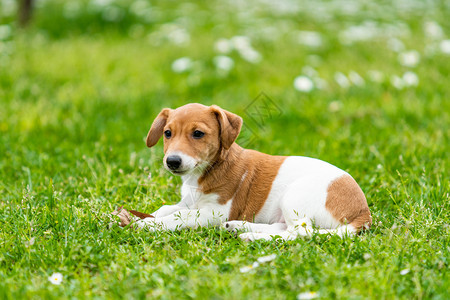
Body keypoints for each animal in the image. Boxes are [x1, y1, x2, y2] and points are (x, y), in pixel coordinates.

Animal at [135, 103, 370, 241]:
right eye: (167, 133)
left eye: (198, 133)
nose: (173, 161)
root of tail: (363, 212)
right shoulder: (190, 202)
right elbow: (167, 209)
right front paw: (148, 217)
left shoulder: (215, 212)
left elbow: (179, 217)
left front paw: (149, 224)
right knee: (284, 228)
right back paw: (239, 227)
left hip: (295, 196)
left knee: (300, 233)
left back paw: (253, 237)